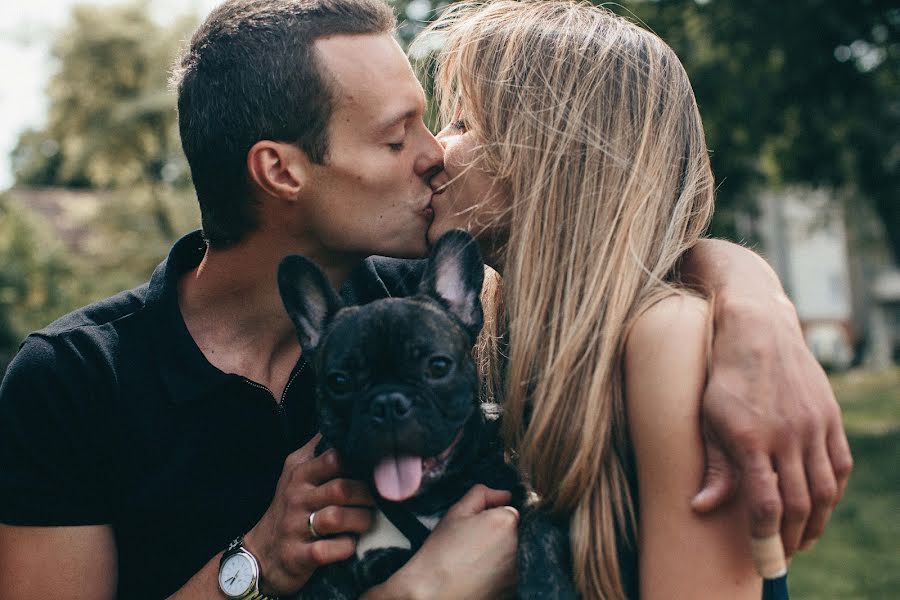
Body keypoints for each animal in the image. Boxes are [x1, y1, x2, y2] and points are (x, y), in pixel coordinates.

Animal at [278, 231, 572, 600]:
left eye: (438, 366)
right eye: (339, 382)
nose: (388, 402)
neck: (423, 502)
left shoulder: (518, 487)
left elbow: (538, 522)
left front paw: (545, 584)